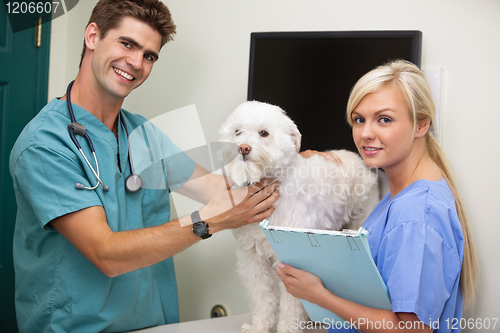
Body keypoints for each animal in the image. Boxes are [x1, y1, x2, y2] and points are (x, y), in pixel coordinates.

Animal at [219, 101, 378, 332]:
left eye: (264, 133)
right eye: (237, 132)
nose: (243, 148)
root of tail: (355, 156)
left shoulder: (293, 259)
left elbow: (292, 305)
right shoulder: (253, 258)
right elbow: (261, 297)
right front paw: (259, 327)